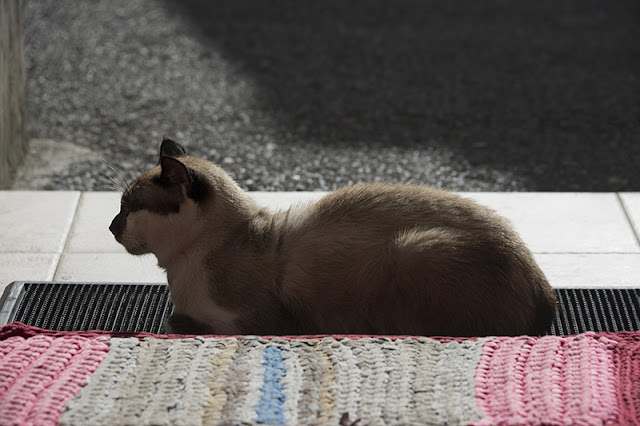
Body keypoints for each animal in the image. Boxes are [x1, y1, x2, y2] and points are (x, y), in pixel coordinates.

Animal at [109, 139, 556, 336]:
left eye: (128, 207)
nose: (112, 227)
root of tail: (547, 296)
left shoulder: (256, 322)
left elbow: (173, 321)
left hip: (414, 248)